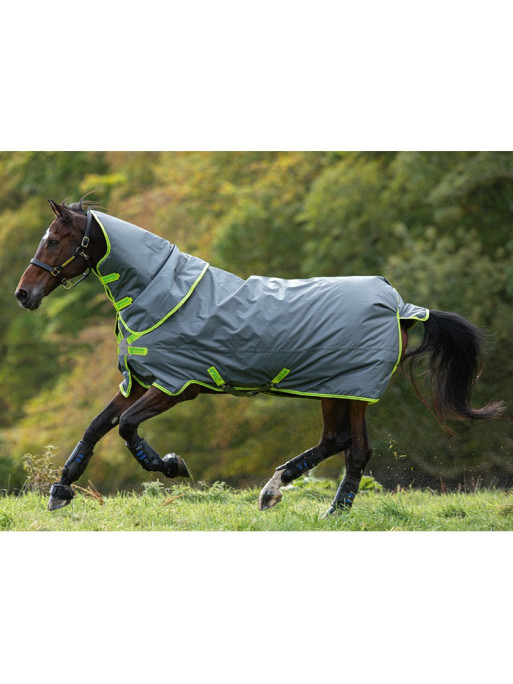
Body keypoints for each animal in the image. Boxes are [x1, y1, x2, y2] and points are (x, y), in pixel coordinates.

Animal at [15, 199, 505, 515]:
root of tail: (401, 306)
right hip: (337, 390)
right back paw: (276, 491)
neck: (161, 292)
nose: (24, 294)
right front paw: (60, 491)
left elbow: (127, 427)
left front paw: (171, 465)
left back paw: (332, 509)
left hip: (348, 390)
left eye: (54, 240)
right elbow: (97, 426)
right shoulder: (140, 381)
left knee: (355, 449)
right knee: (339, 442)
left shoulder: (178, 386)